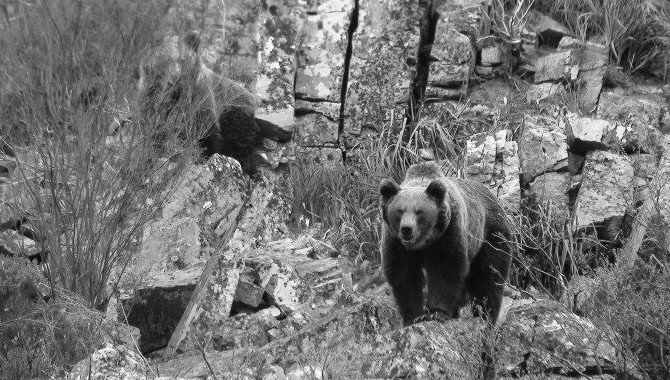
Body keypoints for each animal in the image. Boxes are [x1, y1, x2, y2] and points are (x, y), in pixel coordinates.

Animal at [380, 162, 512, 326]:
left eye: (419, 211)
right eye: (400, 210)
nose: (406, 229)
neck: (423, 243)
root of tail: (493, 197)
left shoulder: (448, 233)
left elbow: (445, 269)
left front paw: (436, 313)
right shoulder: (396, 243)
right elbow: (403, 274)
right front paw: (414, 316)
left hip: (490, 236)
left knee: (489, 277)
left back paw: (485, 317)